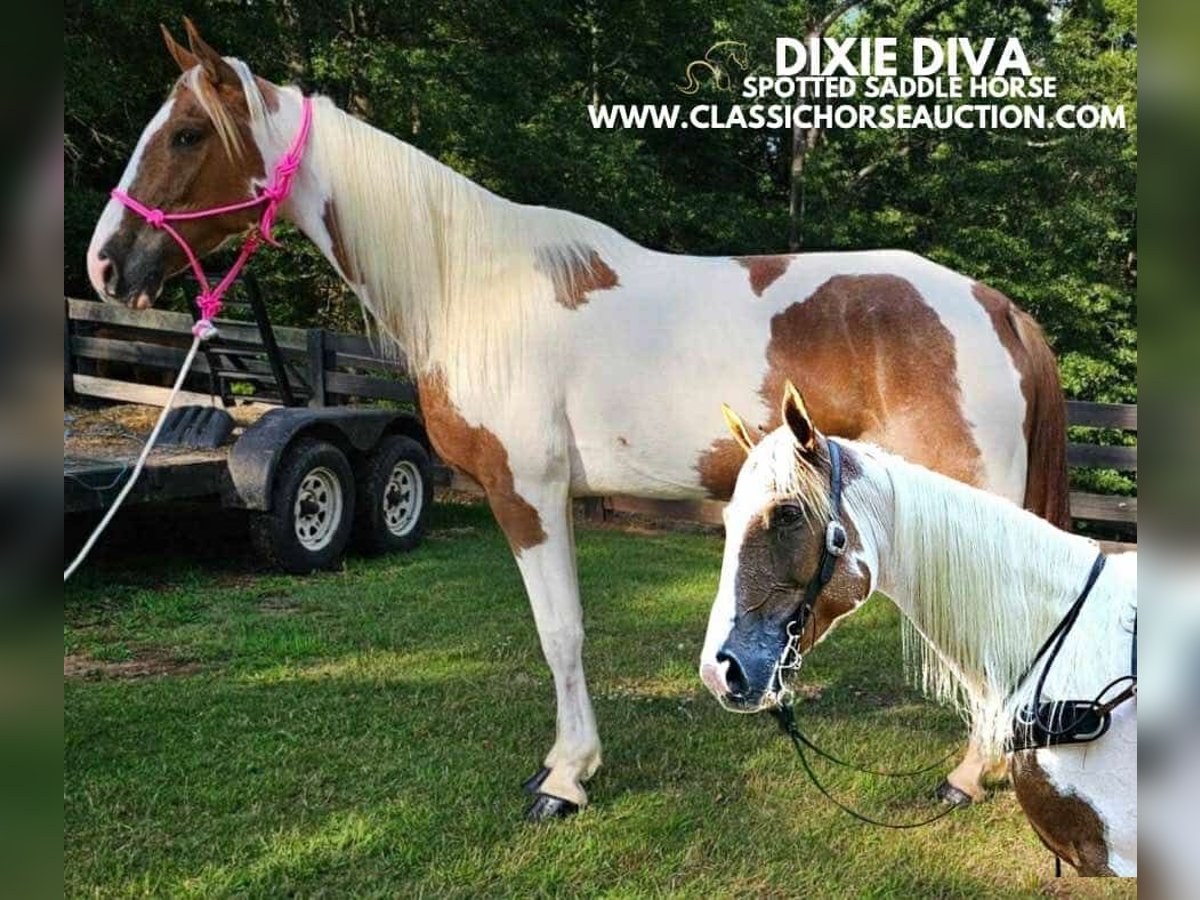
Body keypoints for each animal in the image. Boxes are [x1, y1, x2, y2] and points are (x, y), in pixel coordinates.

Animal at [87, 21, 1070, 825]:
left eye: (185, 134)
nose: (105, 263)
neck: (472, 287)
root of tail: (993, 304)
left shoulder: (525, 492)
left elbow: (559, 632)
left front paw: (565, 778)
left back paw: (967, 776)